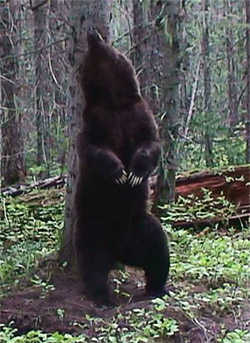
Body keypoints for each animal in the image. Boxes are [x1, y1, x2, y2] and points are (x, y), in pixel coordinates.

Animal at [73, 27, 169, 306]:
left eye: (110, 45)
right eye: (87, 56)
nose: (92, 33)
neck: (114, 102)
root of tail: (120, 252)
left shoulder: (139, 114)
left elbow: (151, 143)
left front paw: (135, 172)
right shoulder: (95, 121)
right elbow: (93, 149)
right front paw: (118, 171)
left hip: (140, 227)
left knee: (158, 248)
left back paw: (157, 287)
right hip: (93, 227)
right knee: (92, 261)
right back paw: (104, 297)